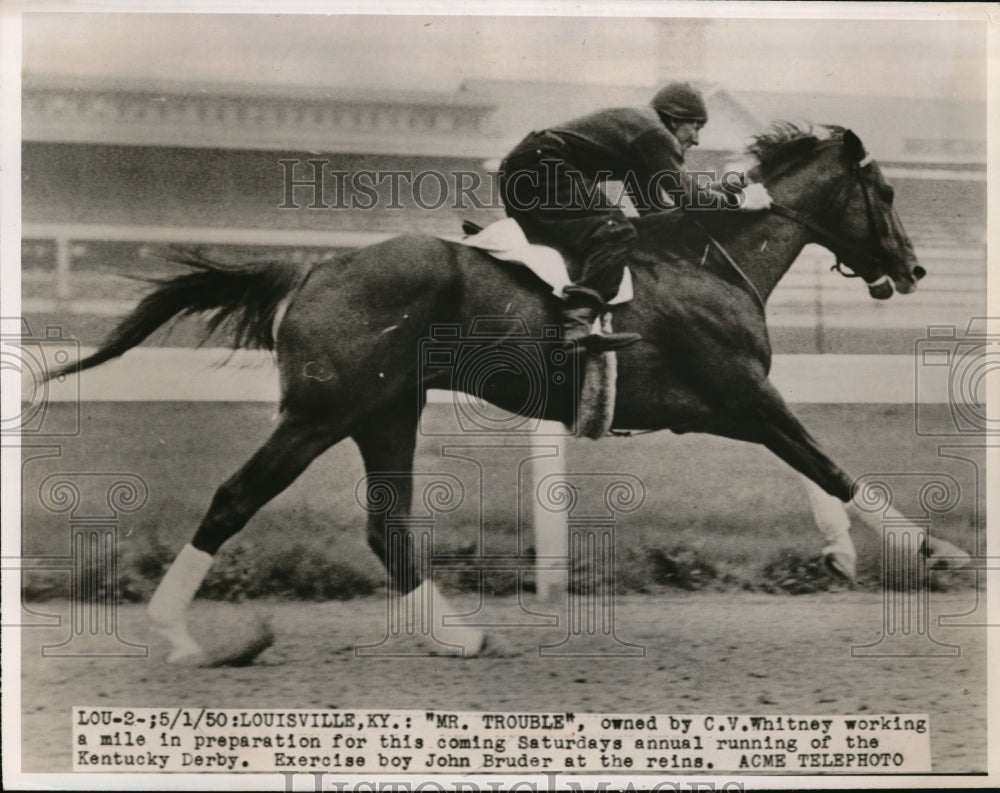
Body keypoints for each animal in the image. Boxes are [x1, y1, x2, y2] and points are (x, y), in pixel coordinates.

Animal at [47, 119, 968, 664]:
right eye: (886, 192)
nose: (917, 268)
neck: (704, 259)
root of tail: (313, 267)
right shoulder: (736, 393)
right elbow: (827, 460)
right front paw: (932, 546)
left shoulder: (722, 404)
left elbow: (807, 464)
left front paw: (841, 549)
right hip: (323, 411)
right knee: (237, 497)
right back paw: (179, 634)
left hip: (386, 411)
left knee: (387, 526)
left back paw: (456, 633)